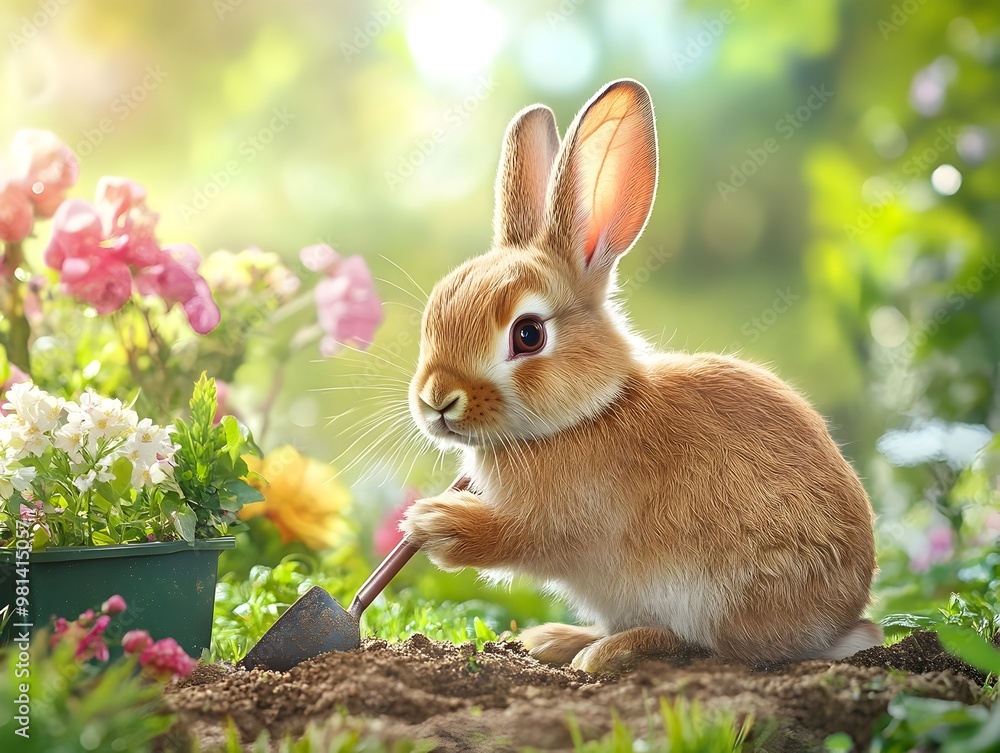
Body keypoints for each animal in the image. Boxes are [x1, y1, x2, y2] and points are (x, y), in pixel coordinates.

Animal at [399, 79, 881, 673]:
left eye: (528, 334)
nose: (436, 400)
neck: (588, 415)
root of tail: (839, 626)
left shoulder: (563, 519)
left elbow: (518, 536)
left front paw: (433, 524)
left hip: (716, 594)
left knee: (705, 646)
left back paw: (606, 652)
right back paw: (558, 640)